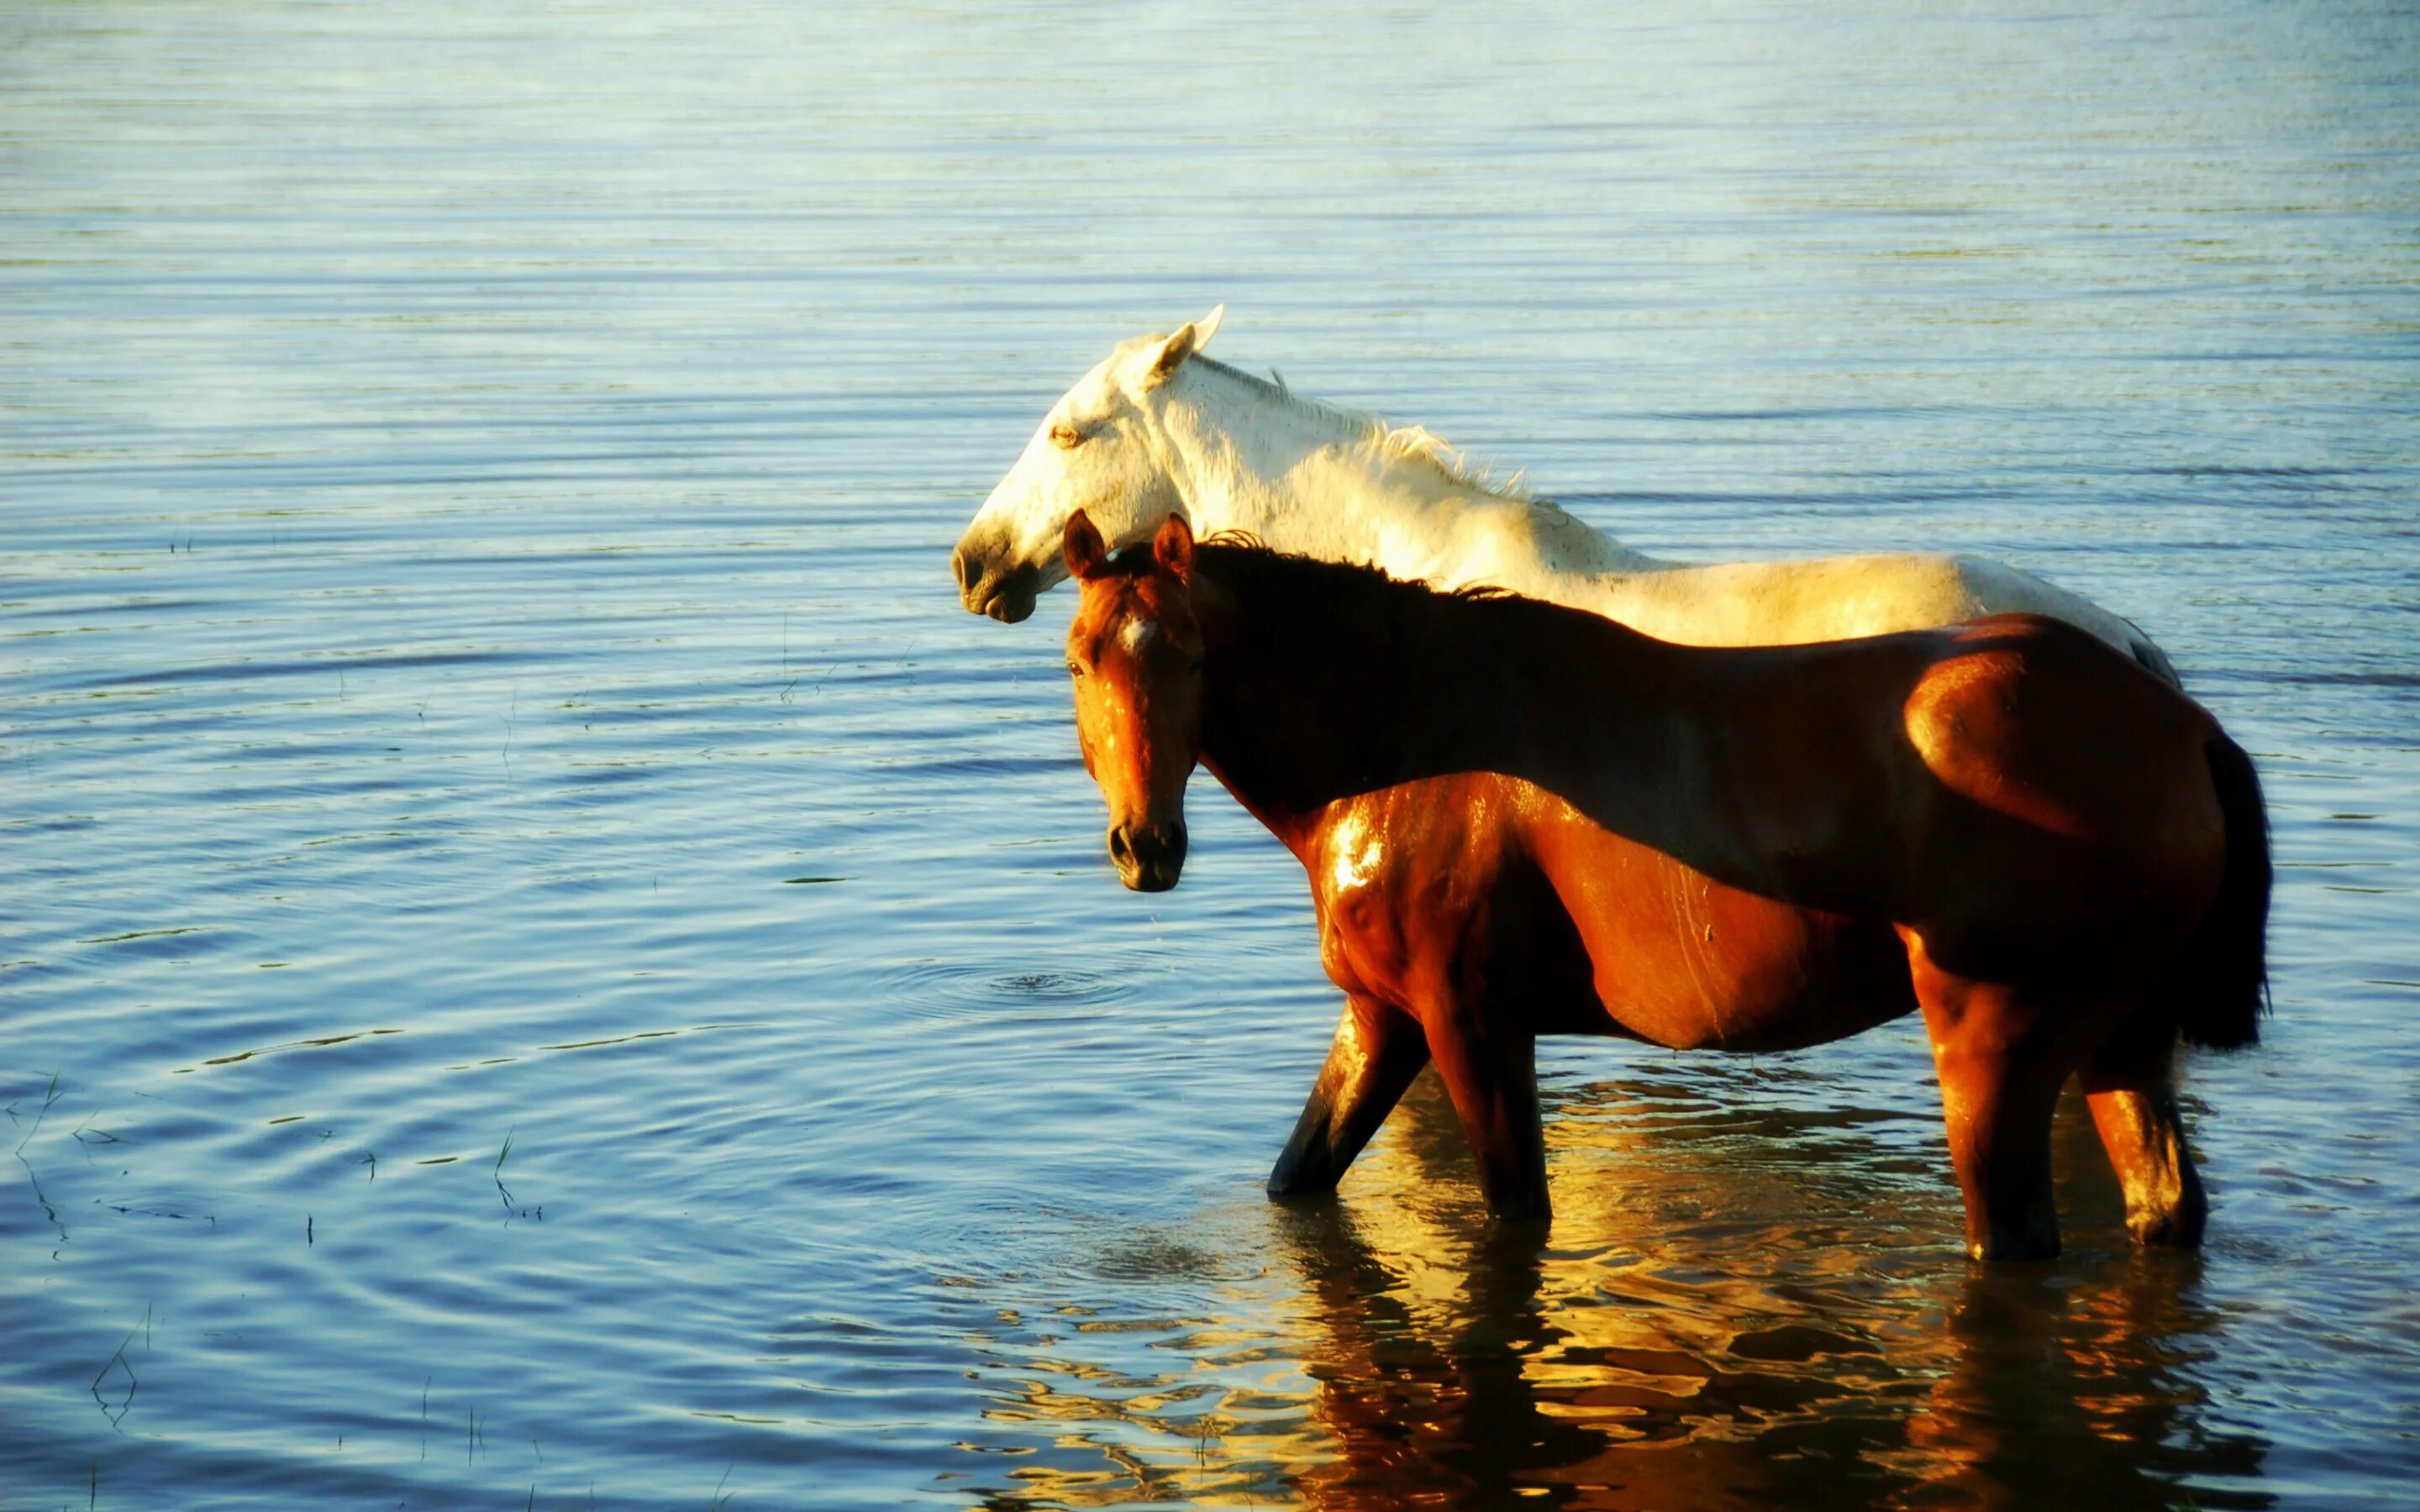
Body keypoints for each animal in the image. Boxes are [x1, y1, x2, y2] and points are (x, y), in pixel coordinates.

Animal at [1060, 512, 2265, 1257]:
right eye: (1080, 656)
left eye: (1193, 657)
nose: (1144, 846)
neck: (1413, 736)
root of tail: (2178, 721)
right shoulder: (1383, 1016)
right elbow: (1299, 1176)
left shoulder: (1469, 1022)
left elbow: (1514, 1214)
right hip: (2119, 1041)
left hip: (1996, 1053)